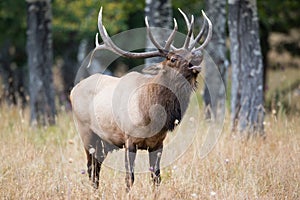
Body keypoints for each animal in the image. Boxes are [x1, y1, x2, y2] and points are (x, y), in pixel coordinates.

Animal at [71, 6, 211, 191]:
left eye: (188, 52)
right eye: (173, 58)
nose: (198, 54)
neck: (150, 114)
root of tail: (72, 90)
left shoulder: (158, 143)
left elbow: (156, 178)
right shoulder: (129, 140)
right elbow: (129, 178)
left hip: (103, 142)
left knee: (96, 168)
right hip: (86, 133)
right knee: (91, 169)